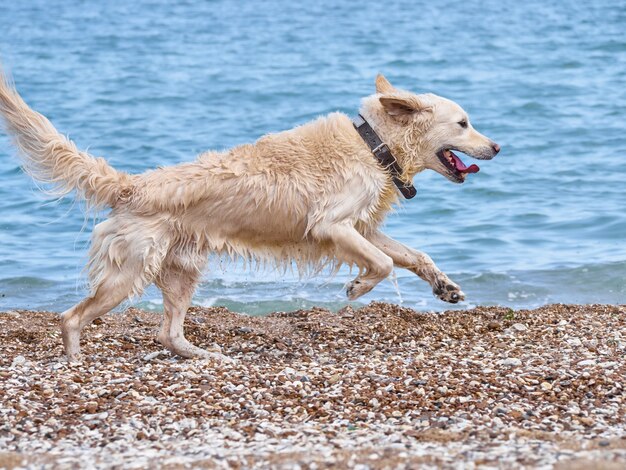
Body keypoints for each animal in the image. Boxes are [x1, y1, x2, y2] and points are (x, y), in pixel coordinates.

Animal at [0, 72, 498, 360]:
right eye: (463, 123)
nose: (496, 147)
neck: (374, 145)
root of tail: (132, 185)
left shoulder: (361, 227)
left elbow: (413, 255)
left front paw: (446, 287)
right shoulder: (332, 225)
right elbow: (384, 263)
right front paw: (357, 287)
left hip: (180, 269)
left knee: (168, 333)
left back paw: (206, 357)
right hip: (131, 270)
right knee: (71, 317)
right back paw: (75, 361)